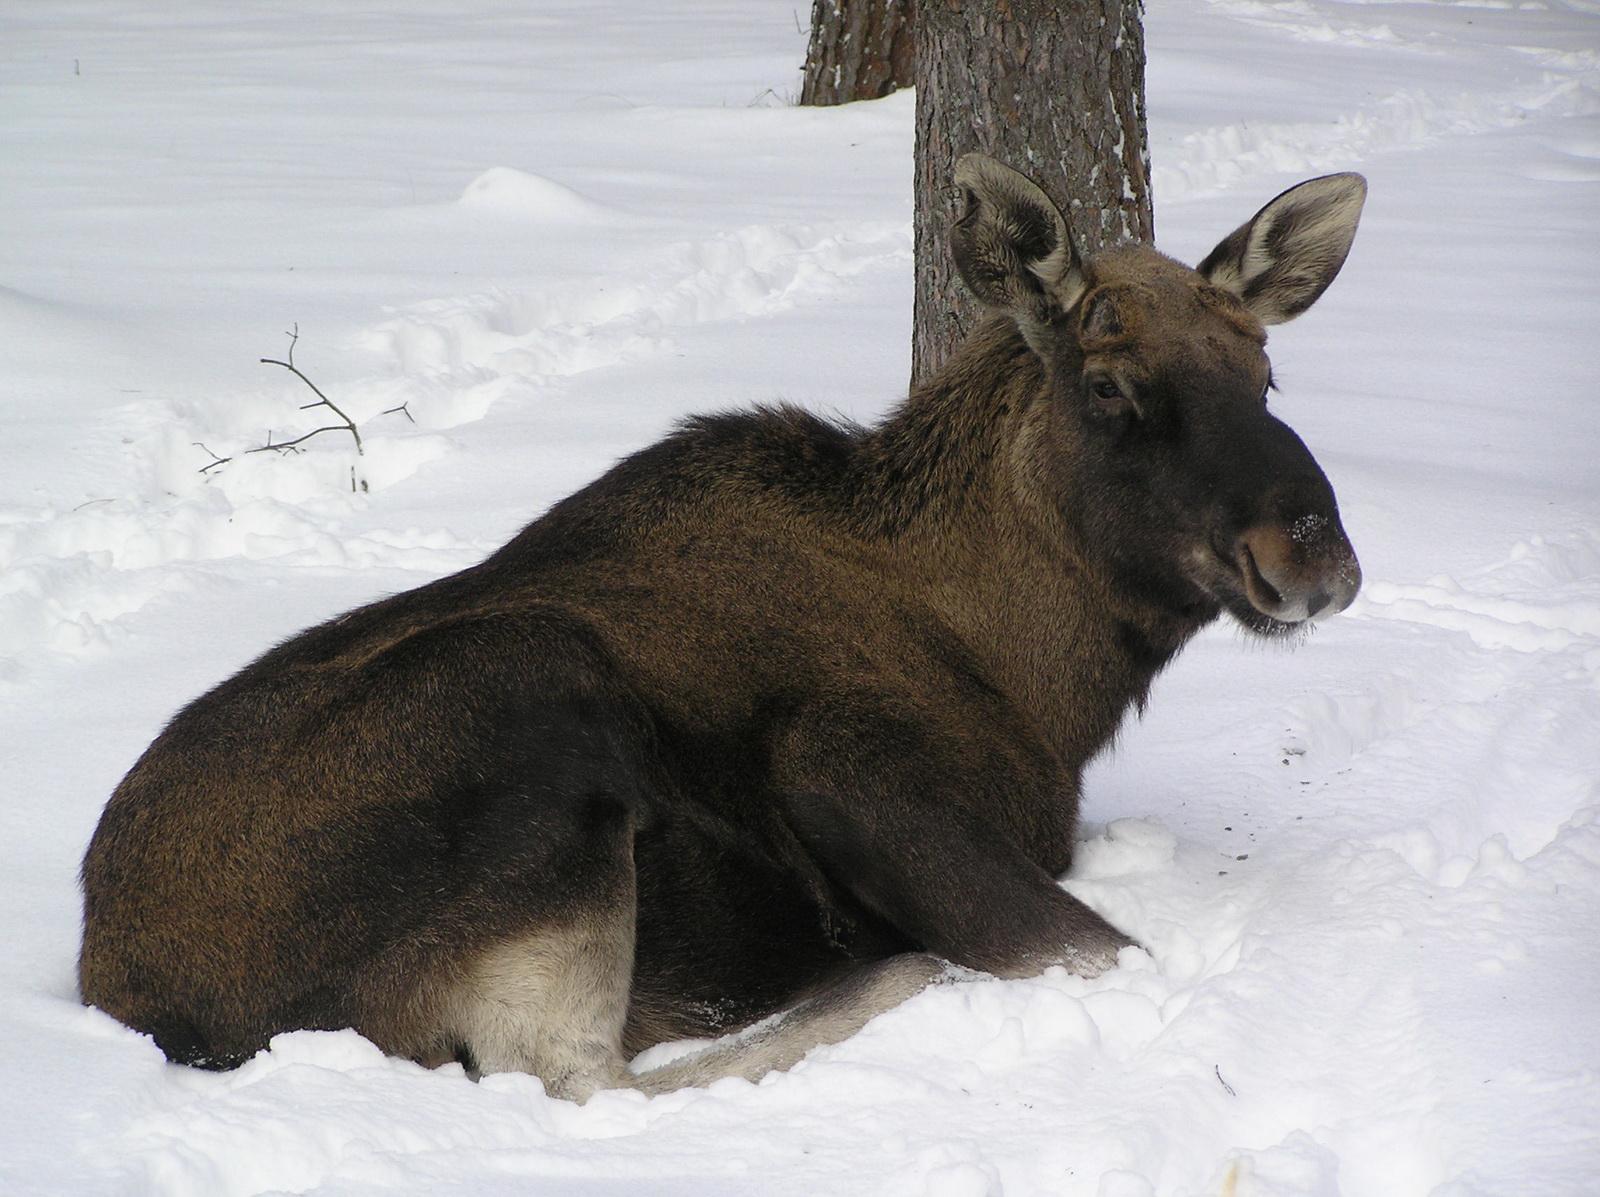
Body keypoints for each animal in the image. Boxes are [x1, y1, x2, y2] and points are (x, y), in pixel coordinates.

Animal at [79, 155, 1367, 1101]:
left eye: (1264, 374)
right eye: (1107, 387)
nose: (1313, 551)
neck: (1041, 681)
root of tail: (142, 999)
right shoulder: (846, 765)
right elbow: (1097, 950)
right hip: (533, 688)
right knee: (581, 1079)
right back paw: (898, 976)